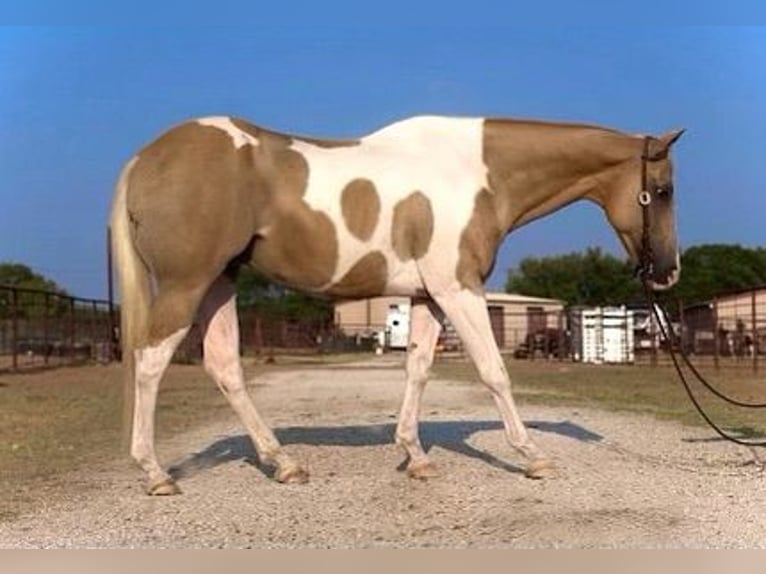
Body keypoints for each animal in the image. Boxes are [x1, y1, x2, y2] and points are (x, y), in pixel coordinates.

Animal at [111, 116, 688, 496]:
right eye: (662, 190)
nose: (668, 273)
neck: (478, 173)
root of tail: (145, 159)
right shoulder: (459, 289)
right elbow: (494, 371)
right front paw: (533, 457)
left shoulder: (428, 296)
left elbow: (418, 368)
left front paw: (415, 457)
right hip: (187, 284)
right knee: (150, 362)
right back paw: (156, 474)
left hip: (220, 282)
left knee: (224, 366)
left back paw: (284, 464)